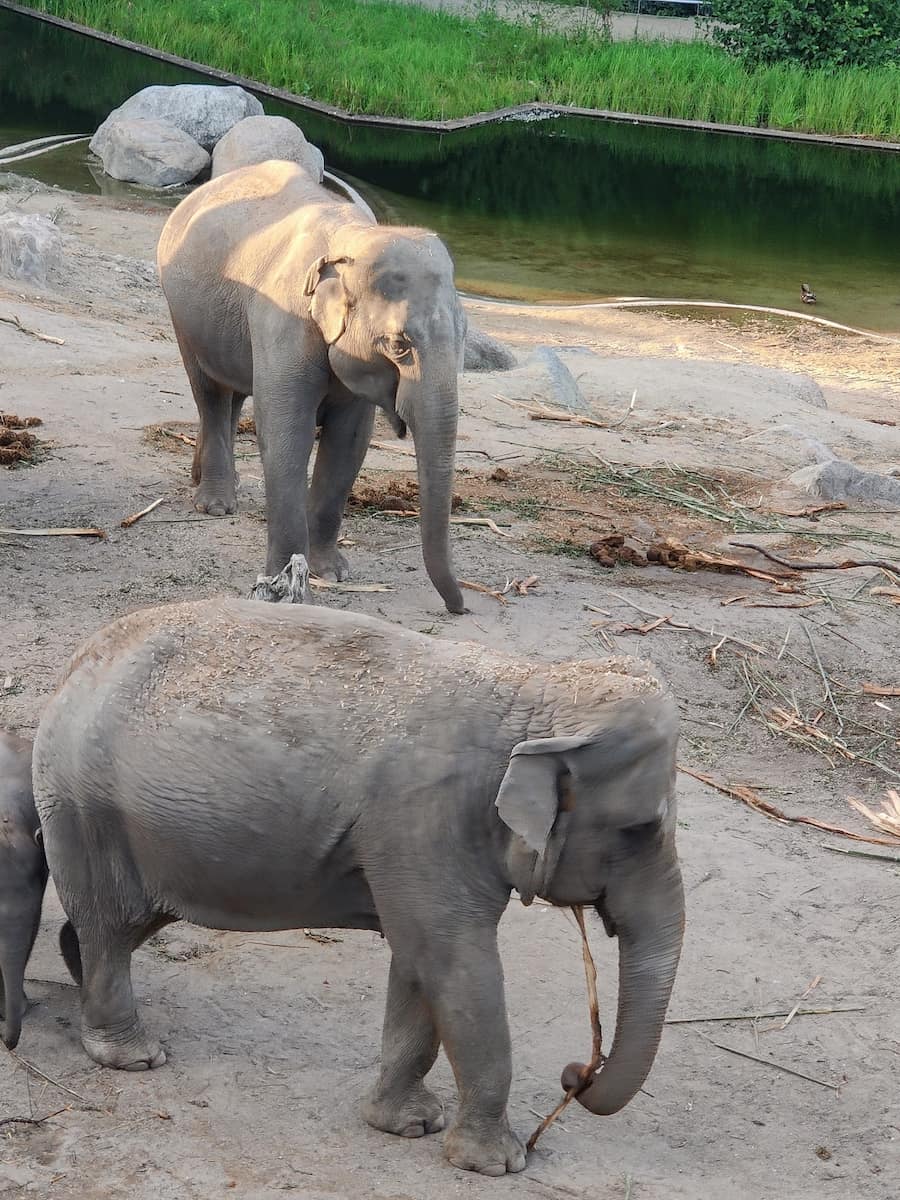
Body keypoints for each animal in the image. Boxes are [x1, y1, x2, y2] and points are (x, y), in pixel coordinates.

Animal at [31, 600, 686, 1171]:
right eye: (639, 829)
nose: (577, 1074)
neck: (534, 691)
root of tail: (76, 662)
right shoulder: (424, 821)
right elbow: (457, 965)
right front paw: (497, 1163)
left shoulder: (421, 845)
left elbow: (419, 960)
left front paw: (409, 1124)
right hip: (86, 805)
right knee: (111, 923)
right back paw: (132, 1056)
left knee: (126, 921)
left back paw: (77, 973)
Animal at [160, 162, 468, 609]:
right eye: (399, 345)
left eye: (465, 336)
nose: (458, 607)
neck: (352, 238)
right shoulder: (284, 324)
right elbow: (288, 435)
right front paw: (284, 579)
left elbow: (349, 442)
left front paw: (333, 573)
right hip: (181, 314)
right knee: (210, 393)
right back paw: (215, 506)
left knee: (233, 394)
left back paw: (217, 483)